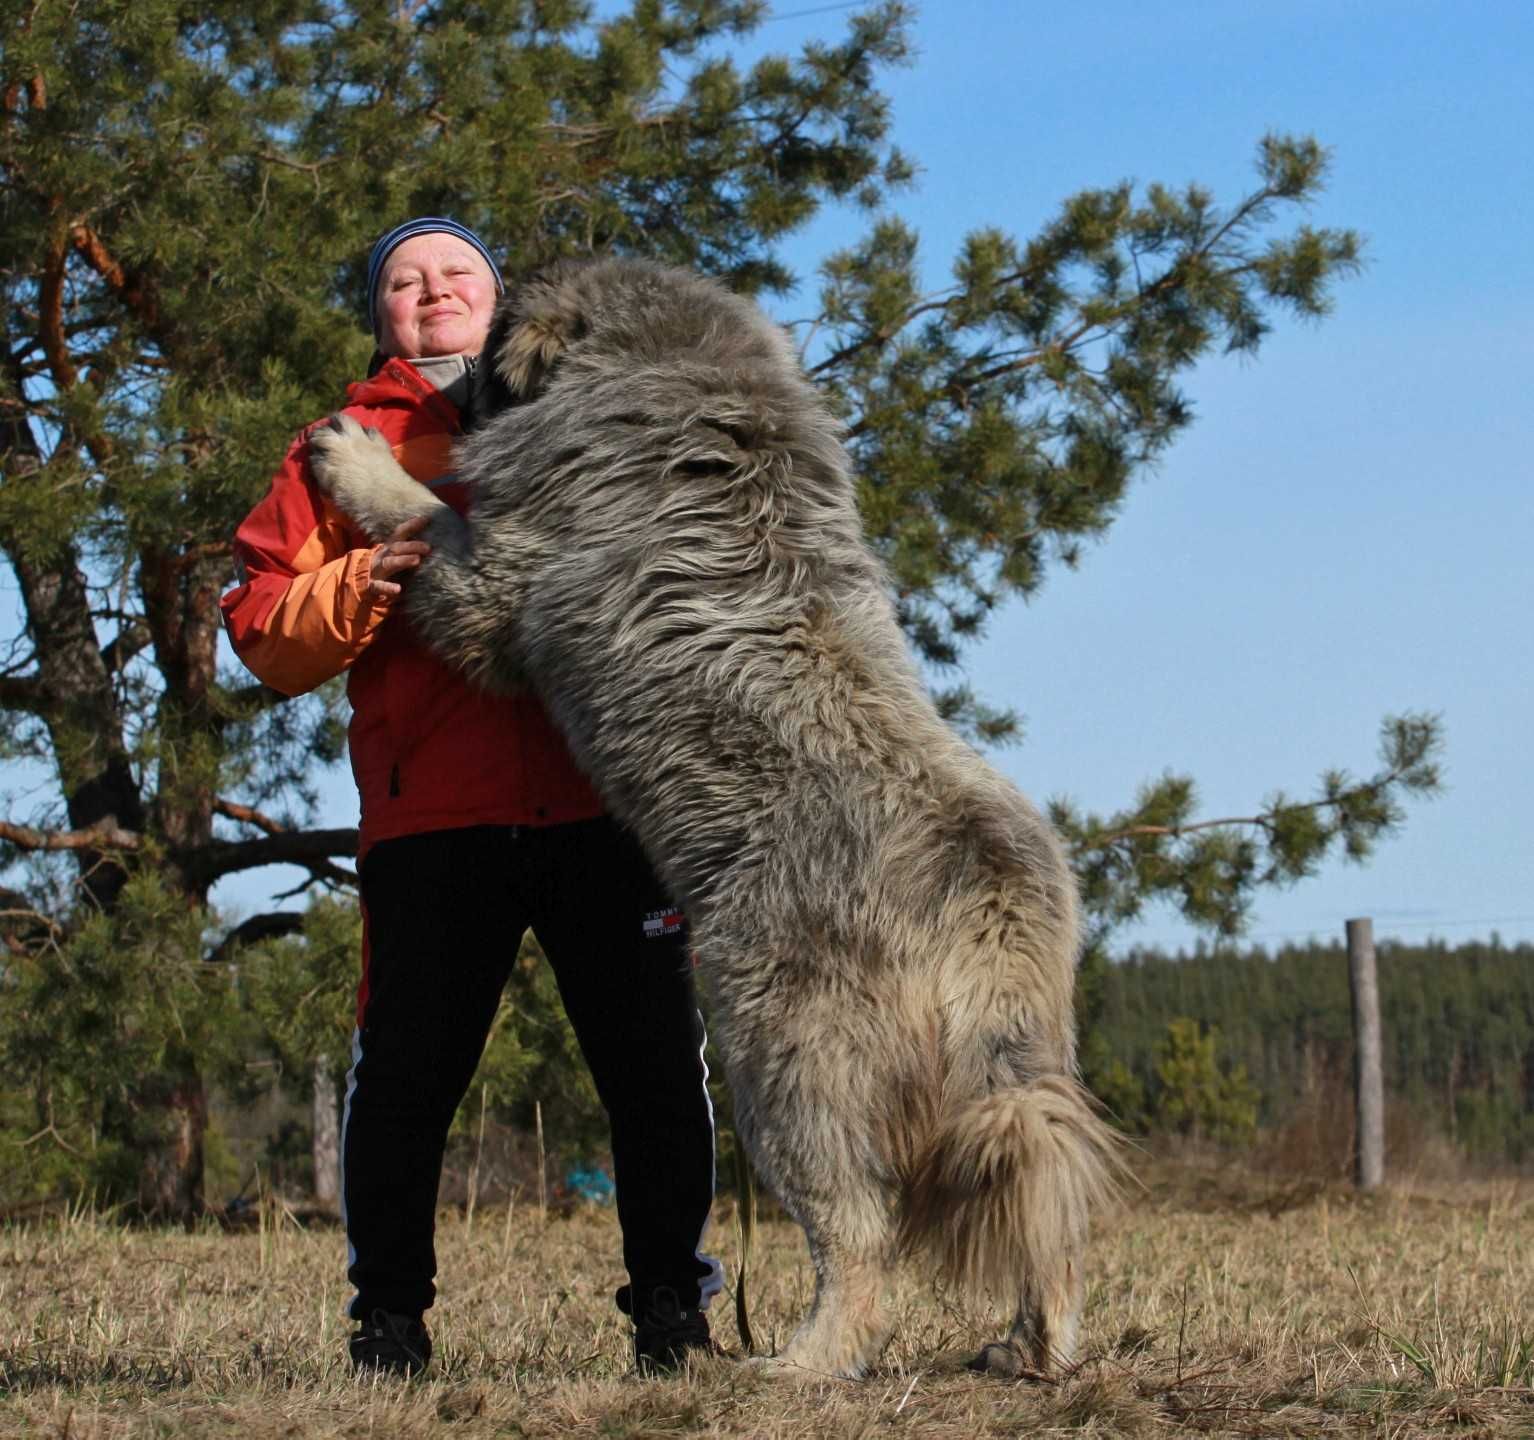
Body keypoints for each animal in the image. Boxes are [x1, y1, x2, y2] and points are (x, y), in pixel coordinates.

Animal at [314, 259, 1129, 1386]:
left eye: (489, 344)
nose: (455, 373)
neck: (678, 380)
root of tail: (985, 898)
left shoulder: (499, 588)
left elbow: (429, 521)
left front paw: (357, 456)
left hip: (778, 1060)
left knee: (858, 1235)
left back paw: (803, 1361)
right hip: (1019, 1071)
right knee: (1043, 1208)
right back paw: (1030, 1346)